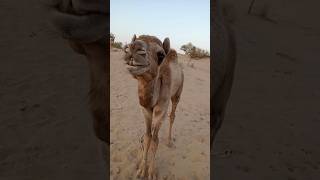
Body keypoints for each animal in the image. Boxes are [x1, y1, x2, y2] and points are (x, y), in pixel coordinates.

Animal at [123, 34, 184, 179]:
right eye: (132, 42)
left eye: (161, 55)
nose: (133, 48)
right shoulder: (145, 109)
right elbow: (147, 137)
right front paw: (141, 170)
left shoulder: (161, 110)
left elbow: (155, 140)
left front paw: (151, 173)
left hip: (177, 94)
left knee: (172, 115)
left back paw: (169, 141)